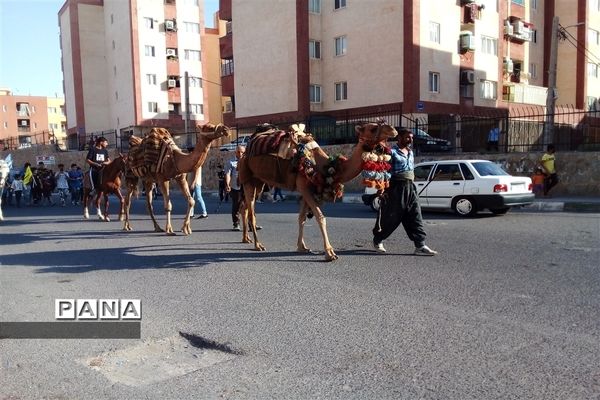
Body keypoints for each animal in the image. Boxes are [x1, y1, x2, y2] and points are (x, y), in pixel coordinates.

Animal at [238, 120, 398, 260]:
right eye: (372, 128)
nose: (393, 129)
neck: (326, 167)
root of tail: (245, 151)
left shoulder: (307, 189)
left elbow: (301, 218)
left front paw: (302, 247)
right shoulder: (304, 186)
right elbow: (321, 217)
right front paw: (330, 253)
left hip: (259, 182)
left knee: (244, 207)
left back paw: (246, 239)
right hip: (247, 177)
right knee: (251, 211)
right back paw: (258, 245)